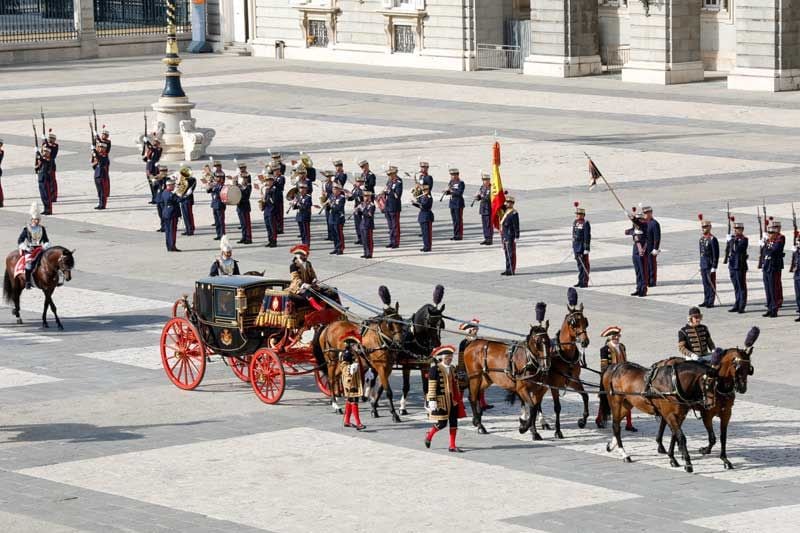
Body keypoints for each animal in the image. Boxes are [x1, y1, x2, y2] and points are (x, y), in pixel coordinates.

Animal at [460, 306, 552, 438]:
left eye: (548, 341)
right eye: (537, 342)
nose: (546, 364)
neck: (528, 359)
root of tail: (472, 343)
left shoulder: (538, 390)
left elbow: (534, 408)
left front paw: (533, 431)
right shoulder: (522, 389)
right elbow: (532, 406)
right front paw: (524, 427)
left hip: (486, 378)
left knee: (476, 395)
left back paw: (477, 419)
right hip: (475, 377)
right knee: (472, 397)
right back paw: (480, 426)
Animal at [656, 324, 764, 470]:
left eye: (749, 368)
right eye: (738, 367)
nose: (742, 388)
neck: (719, 385)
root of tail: (666, 361)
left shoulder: (726, 413)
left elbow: (723, 437)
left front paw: (725, 459)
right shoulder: (707, 414)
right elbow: (712, 437)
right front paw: (705, 450)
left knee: (670, 425)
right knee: (666, 422)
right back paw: (663, 446)